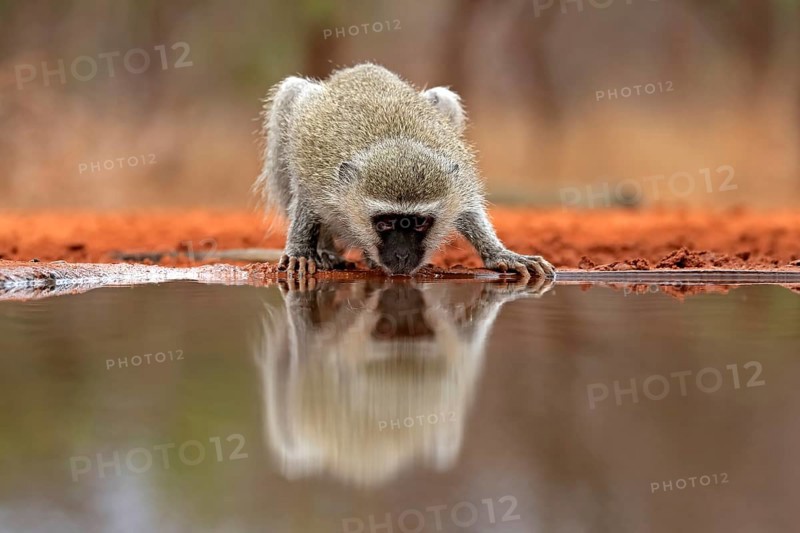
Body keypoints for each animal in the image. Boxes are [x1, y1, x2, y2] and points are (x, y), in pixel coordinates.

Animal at [254, 63, 555, 280]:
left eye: (419, 222)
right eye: (385, 223)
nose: (401, 257)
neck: (396, 141)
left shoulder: (456, 176)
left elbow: (467, 207)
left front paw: (499, 253)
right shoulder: (317, 171)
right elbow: (305, 196)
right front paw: (301, 250)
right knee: (292, 96)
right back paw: (326, 251)